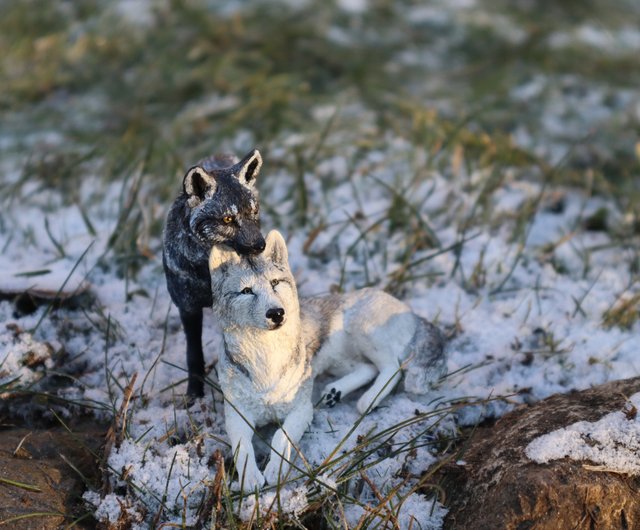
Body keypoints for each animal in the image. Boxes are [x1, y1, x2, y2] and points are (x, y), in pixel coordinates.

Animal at [165, 148, 268, 396]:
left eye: (254, 212)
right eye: (228, 219)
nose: (261, 246)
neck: (206, 275)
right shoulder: (187, 307)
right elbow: (193, 355)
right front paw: (194, 394)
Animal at [210, 227, 444, 486]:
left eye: (275, 283)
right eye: (246, 291)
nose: (277, 313)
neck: (265, 358)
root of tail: (412, 313)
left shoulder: (302, 409)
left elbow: (281, 436)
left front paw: (275, 471)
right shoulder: (236, 416)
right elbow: (243, 447)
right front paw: (250, 478)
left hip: (363, 332)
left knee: (392, 367)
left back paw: (368, 400)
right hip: (337, 360)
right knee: (369, 368)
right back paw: (334, 393)